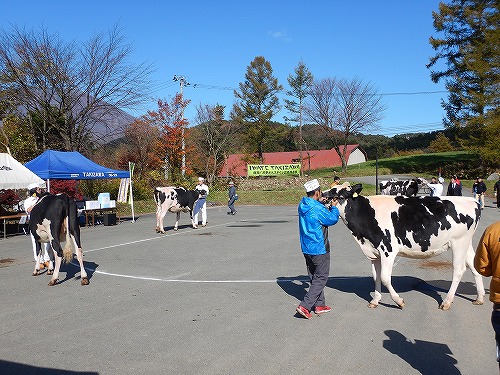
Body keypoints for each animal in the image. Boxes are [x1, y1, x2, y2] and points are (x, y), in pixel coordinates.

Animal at [324, 184, 484, 310]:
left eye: (337, 193)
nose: (323, 195)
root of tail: (472, 201)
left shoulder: (387, 250)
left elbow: (385, 278)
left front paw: (399, 301)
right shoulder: (374, 252)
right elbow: (376, 276)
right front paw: (375, 300)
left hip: (459, 242)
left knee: (459, 270)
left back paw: (447, 302)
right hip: (466, 243)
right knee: (474, 266)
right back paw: (479, 298)